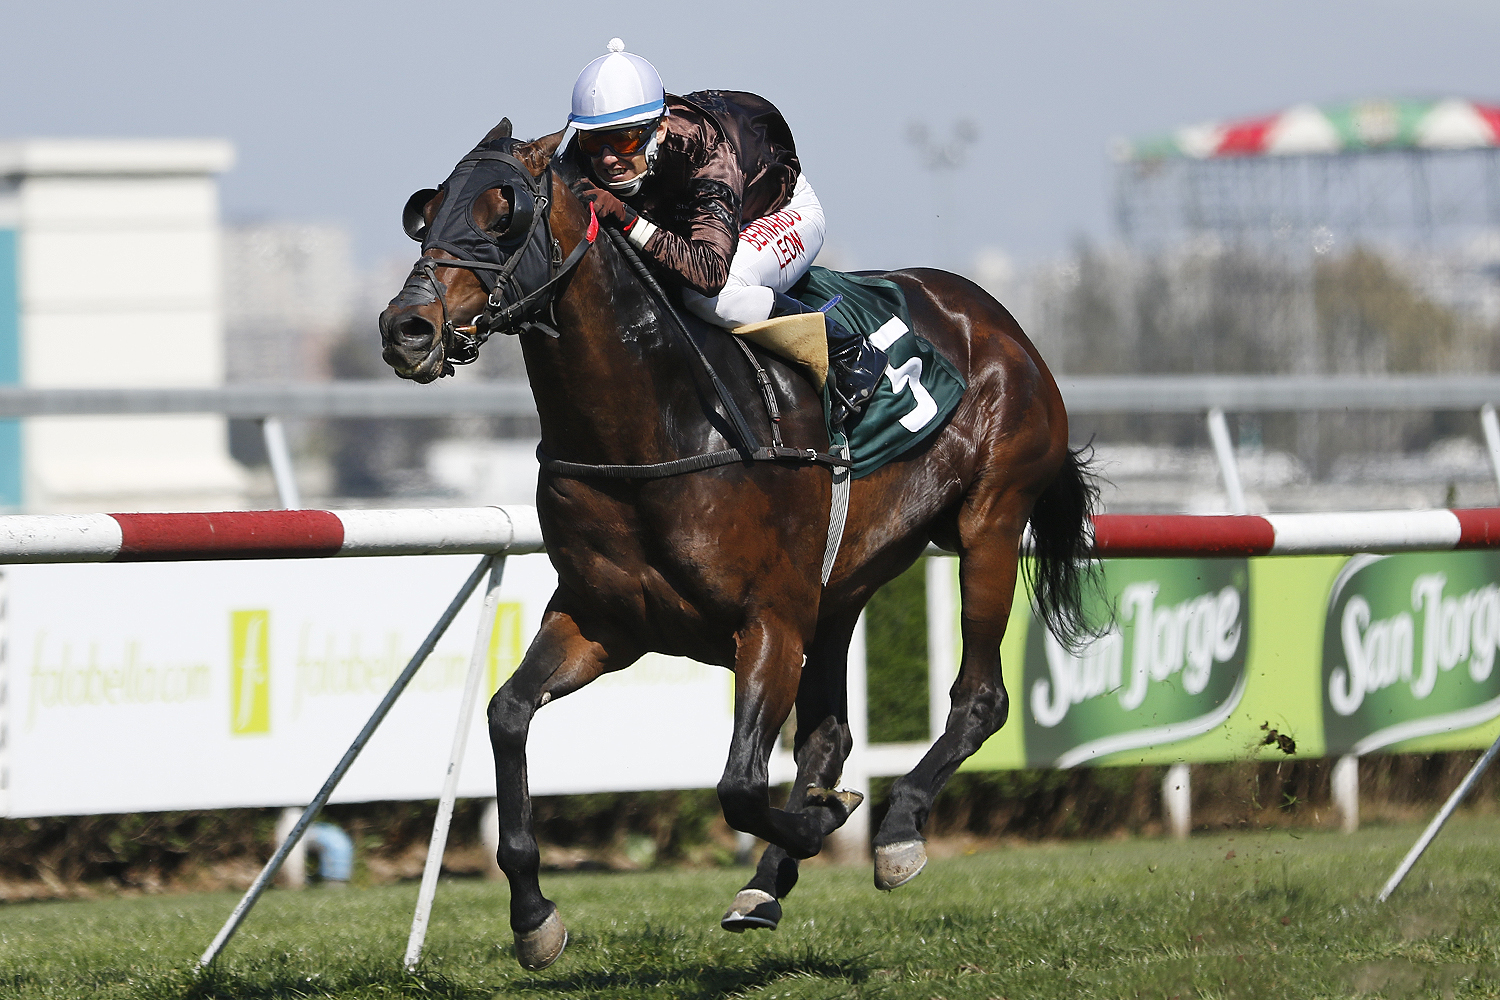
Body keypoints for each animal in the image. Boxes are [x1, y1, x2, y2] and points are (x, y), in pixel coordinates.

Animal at [378, 120, 1097, 971]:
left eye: (503, 214)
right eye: (425, 213)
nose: (406, 329)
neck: (653, 426)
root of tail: (996, 318)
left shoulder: (769, 622)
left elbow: (740, 785)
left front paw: (827, 820)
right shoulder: (603, 621)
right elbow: (507, 714)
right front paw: (533, 915)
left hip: (989, 522)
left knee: (979, 699)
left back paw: (896, 831)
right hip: (841, 586)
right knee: (830, 734)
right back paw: (768, 883)